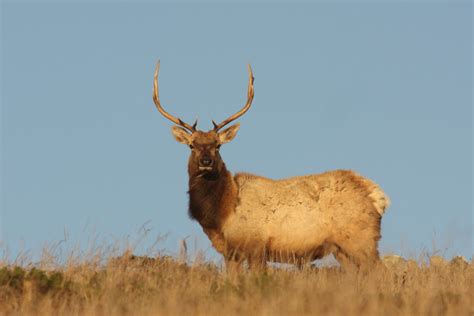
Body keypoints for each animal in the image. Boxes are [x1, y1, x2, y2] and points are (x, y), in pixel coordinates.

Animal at [151, 61, 388, 270]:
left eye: (218, 145)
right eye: (192, 145)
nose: (206, 162)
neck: (223, 212)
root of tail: (378, 196)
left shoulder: (256, 246)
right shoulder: (230, 252)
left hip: (361, 239)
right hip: (341, 248)